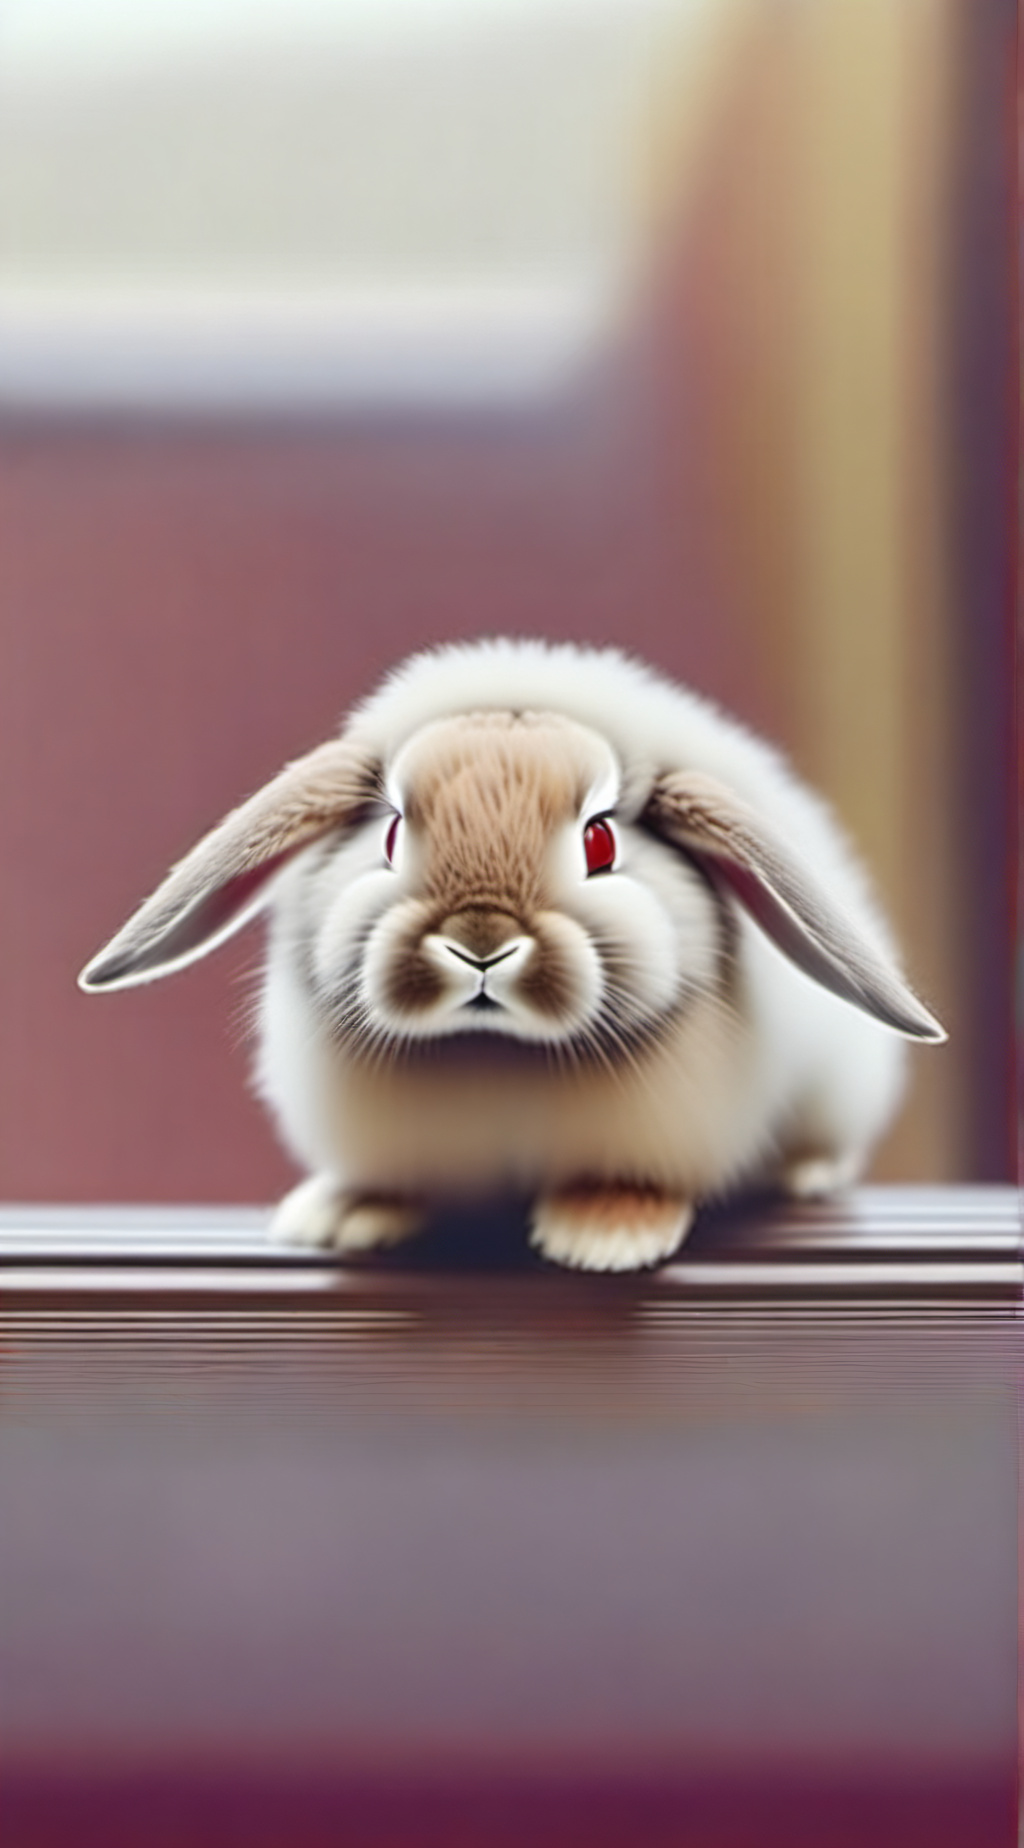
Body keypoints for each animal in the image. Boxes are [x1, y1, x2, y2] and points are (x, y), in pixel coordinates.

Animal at [79, 637, 945, 1272]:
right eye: (390, 833)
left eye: (601, 841)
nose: (481, 943)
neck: (496, 1050)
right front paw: (342, 1217)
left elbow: (629, 1183)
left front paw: (605, 1239)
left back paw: (802, 1173)